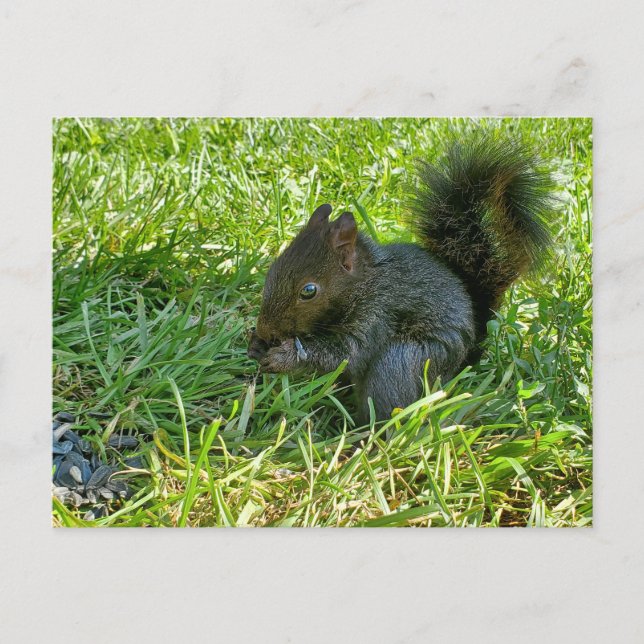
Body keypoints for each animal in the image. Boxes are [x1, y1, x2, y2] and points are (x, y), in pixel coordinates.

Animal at [247, 132, 557, 422]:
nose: (266, 331)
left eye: (309, 291)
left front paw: (285, 356)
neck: (366, 282)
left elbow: (346, 353)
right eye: (273, 268)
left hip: (411, 357)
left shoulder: (377, 314)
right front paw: (256, 345)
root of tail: (464, 358)